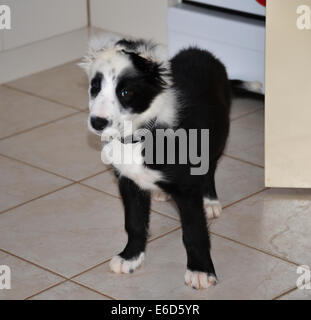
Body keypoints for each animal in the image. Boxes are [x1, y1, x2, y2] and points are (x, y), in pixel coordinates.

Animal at [80, 37, 260, 290]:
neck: (139, 135)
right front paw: (130, 257)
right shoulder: (129, 182)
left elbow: (194, 232)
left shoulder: (186, 189)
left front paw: (200, 270)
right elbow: (134, 223)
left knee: (210, 167)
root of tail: (202, 52)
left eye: (125, 92)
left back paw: (210, 200)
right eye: (95, 87)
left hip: (218, 133)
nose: (98, 122)